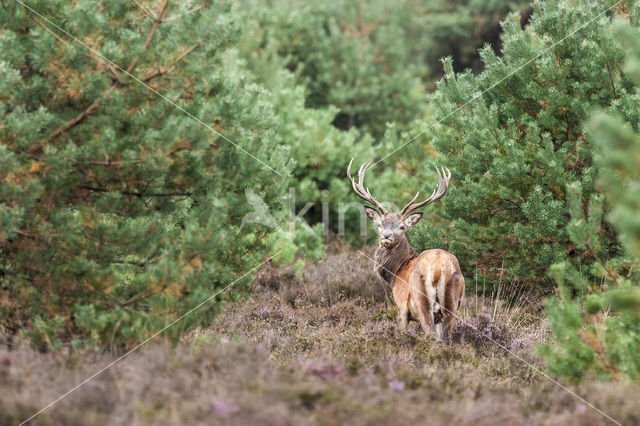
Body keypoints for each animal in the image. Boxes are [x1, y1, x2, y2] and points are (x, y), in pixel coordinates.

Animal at [348, 159, 468, 342]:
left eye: (402, 226)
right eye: (379, 224)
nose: (387, 236)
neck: (396, 272)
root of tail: (440, 269)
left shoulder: (402, 306)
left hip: (422, 300)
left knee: (431, 334)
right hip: (453, 303)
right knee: (445, 339)